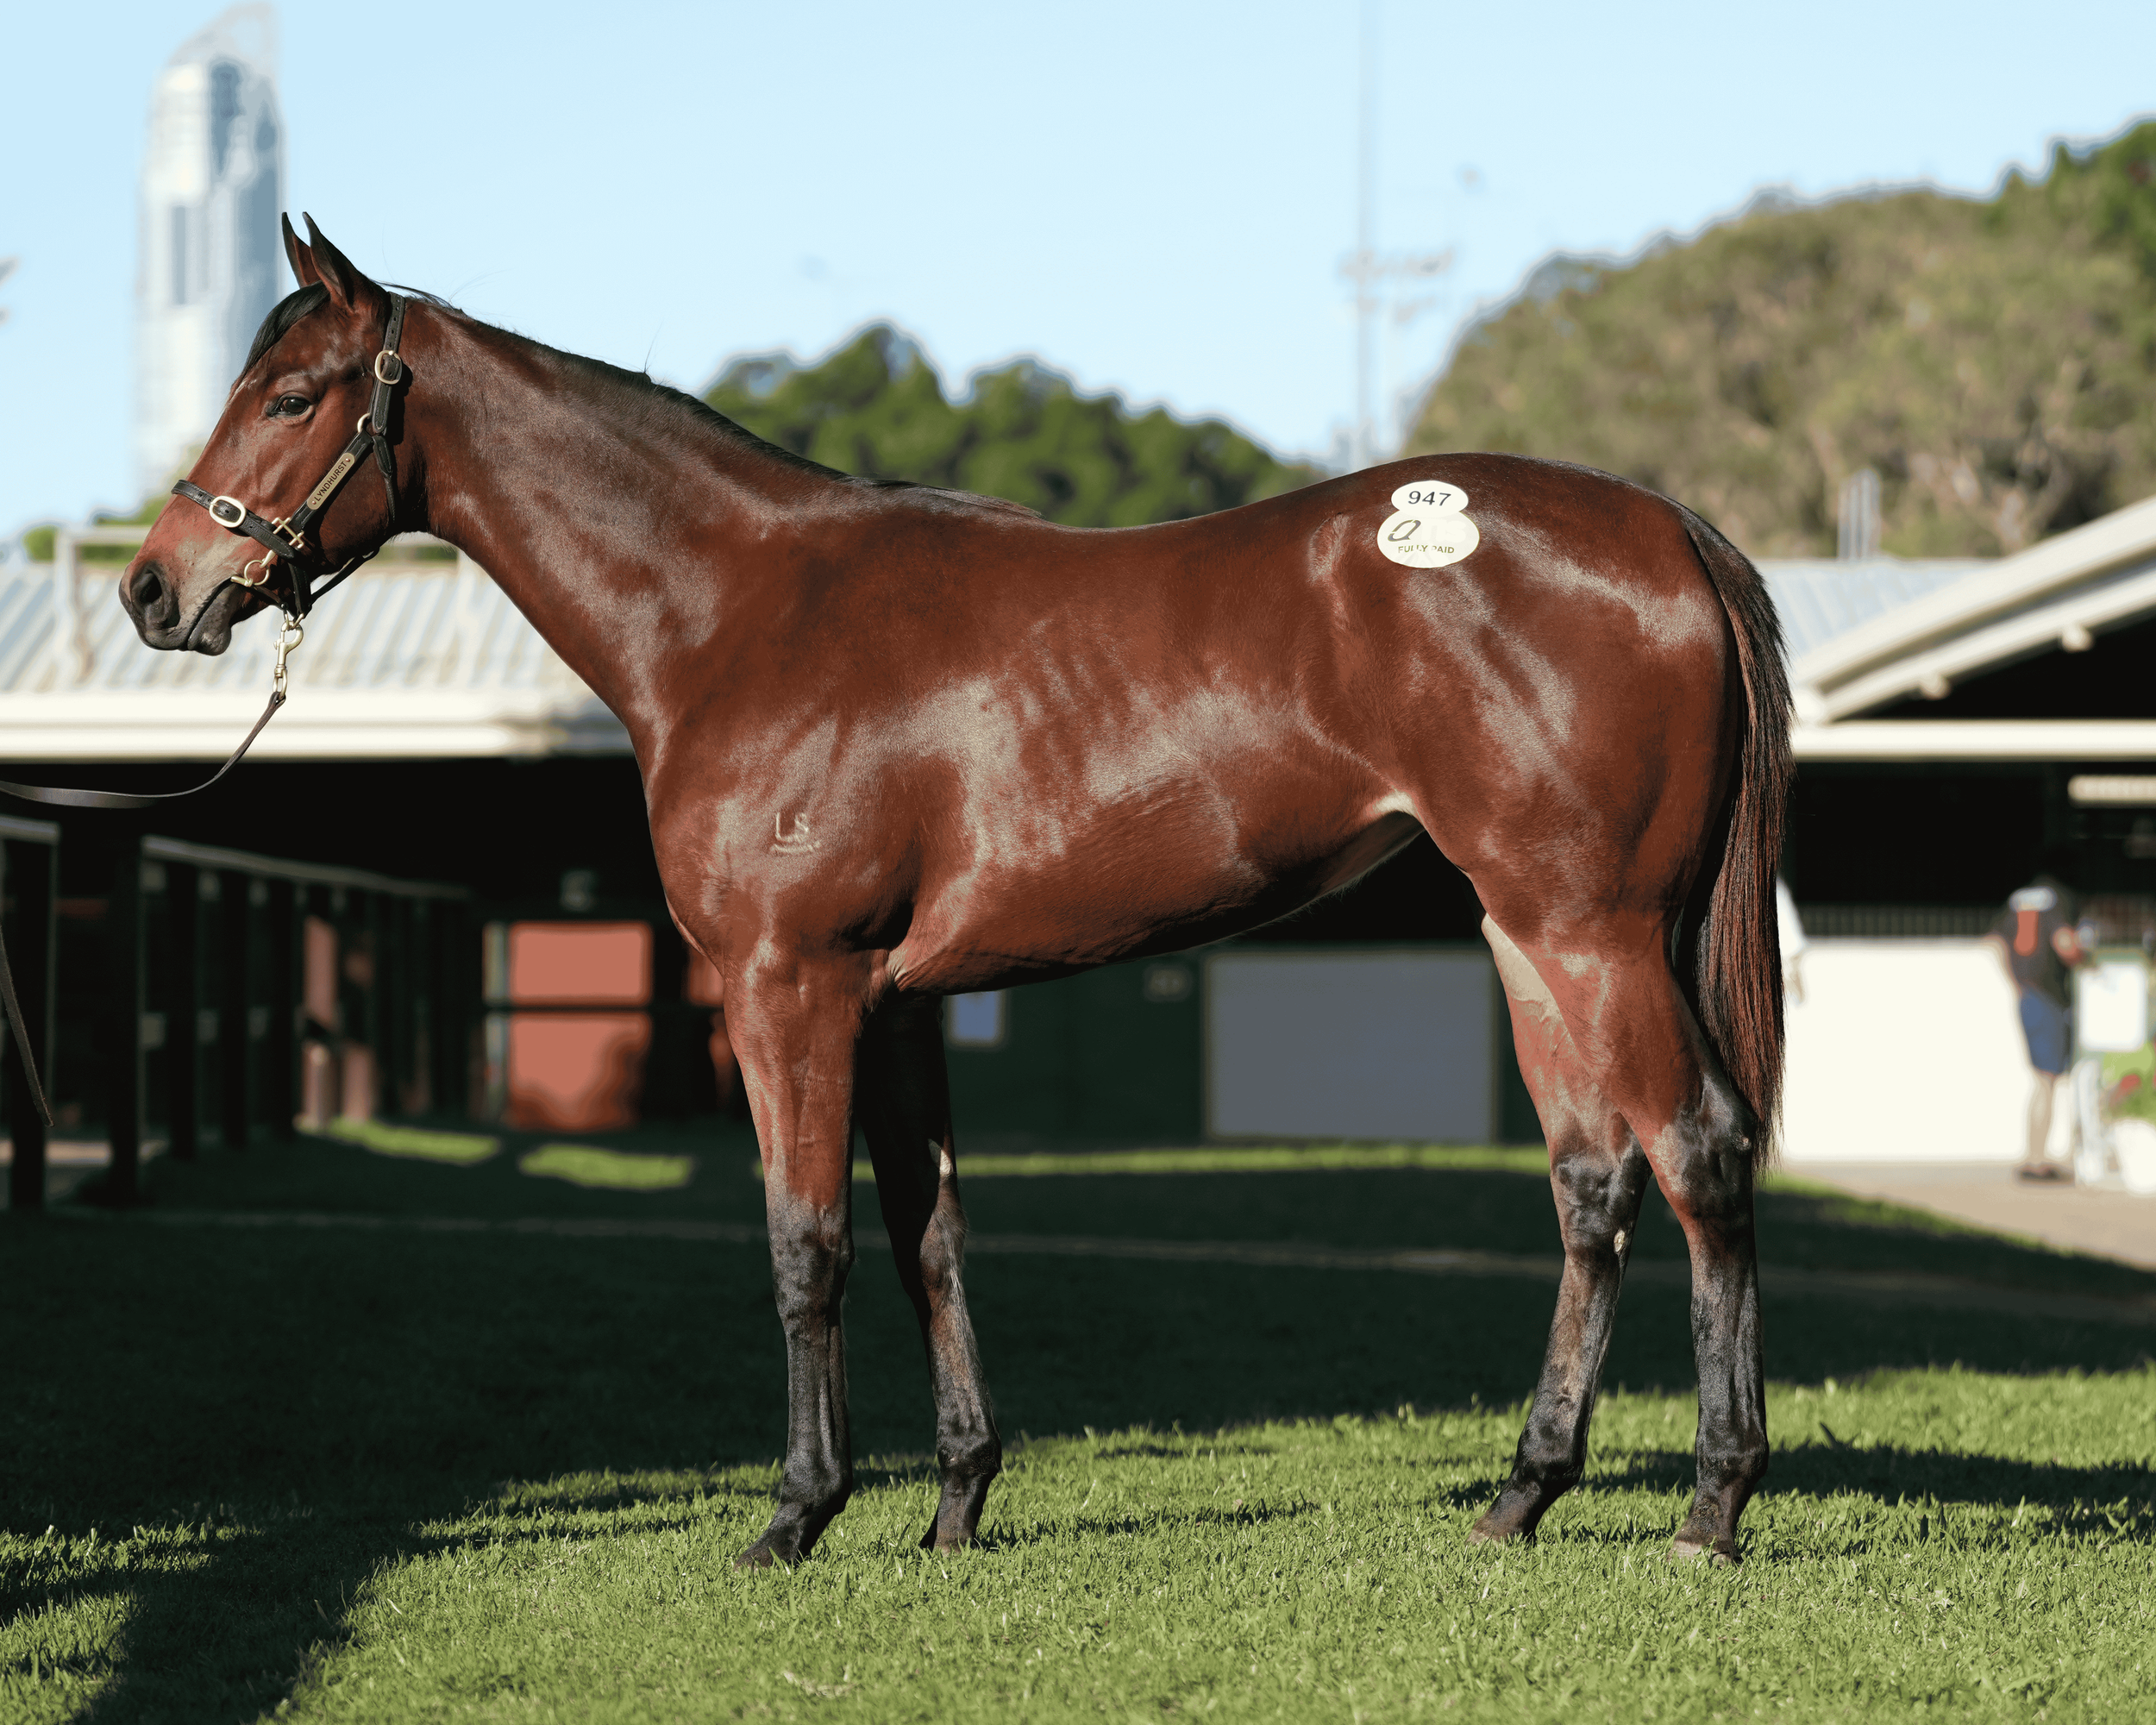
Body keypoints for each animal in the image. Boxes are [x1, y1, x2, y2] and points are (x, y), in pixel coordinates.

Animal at [119, 216, 1790, 1570]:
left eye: (290, 396)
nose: (153, 587)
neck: (741, 613)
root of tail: (1665, 529)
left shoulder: (787, 984)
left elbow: (807, 1245)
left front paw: (797, 1514)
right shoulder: (894, 1001)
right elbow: (928, 1230)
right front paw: (956, 1502)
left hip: (1594, 934)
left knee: (1701, 1155)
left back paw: (1713, 1503)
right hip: (1529, 937)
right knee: (1594, 1184)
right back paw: (1524, 1493)